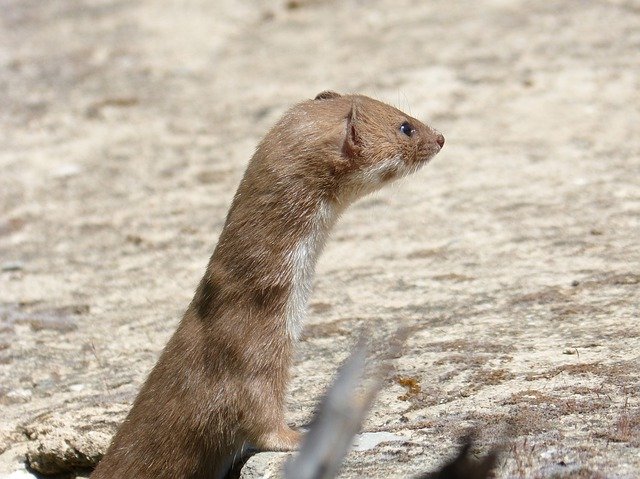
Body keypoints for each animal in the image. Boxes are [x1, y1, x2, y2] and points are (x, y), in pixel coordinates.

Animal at [91, 91, 444, 479]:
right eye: (405, 126)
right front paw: (300, 436)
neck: (288, 307)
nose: (441, 137)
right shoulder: (247, 357)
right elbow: (261, 421)